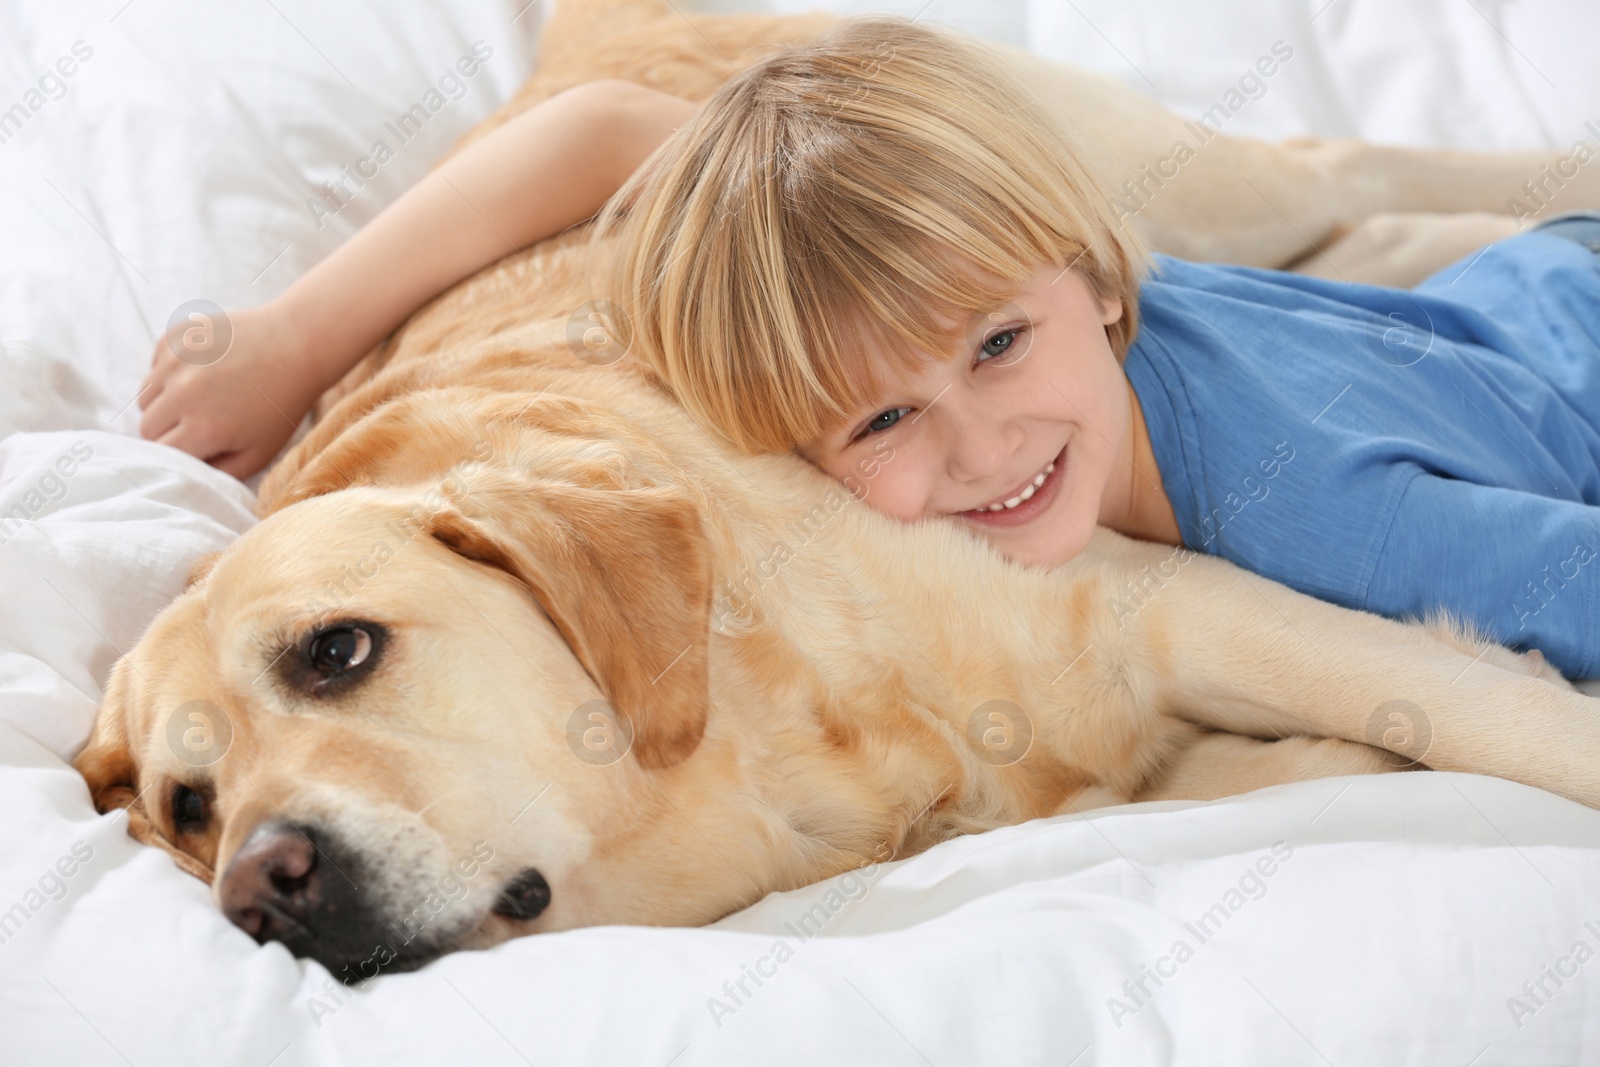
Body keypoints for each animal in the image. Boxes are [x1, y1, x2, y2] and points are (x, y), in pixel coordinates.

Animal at [78, 0, 1600, 979]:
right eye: (186, 806)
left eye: (337, 650)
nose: (261, 885)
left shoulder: (1174, 603)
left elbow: (1507, 723)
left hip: (1141, 173)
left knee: (1344, 172)